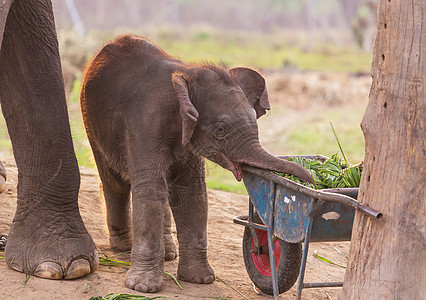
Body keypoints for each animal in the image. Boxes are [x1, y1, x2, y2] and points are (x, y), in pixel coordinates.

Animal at [80, 34, 312, 292]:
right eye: (220, 130)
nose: (311, 179)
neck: (188, 76)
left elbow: (191, 192)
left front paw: (199, 279)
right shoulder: (144, 124)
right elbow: (151, 190)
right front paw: (142, 287)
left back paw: (168, 253)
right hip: (92, 122)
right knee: (117, 183)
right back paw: (123, 247)